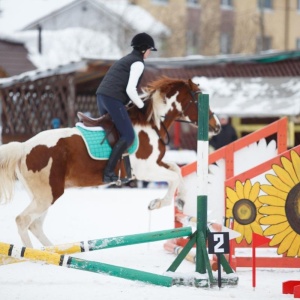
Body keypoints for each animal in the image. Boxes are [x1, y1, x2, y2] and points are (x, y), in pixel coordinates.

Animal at [0, 77, 220, 246]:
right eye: (199, 99)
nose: (217, 126)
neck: (151, 124)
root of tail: (24, 147)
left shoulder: (155, 164)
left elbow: (177, 170)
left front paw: (180, 199)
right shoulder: (146, 170)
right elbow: (174, 176)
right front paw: (158, 203)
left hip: (44, 195)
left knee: (35, 225)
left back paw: (51, 253)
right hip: (47, 195)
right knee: (23, 220)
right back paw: (31, 255)